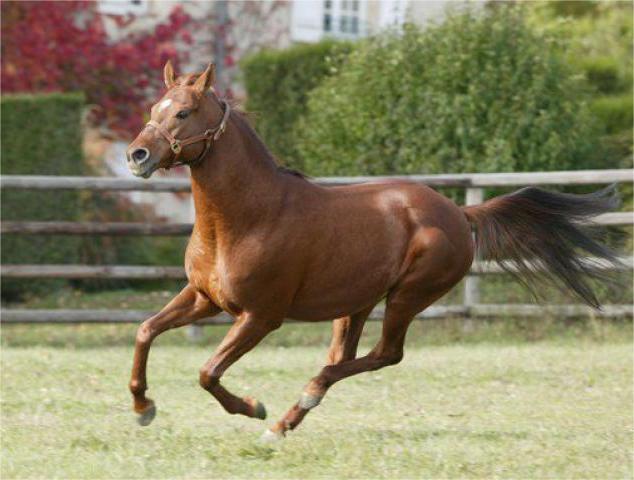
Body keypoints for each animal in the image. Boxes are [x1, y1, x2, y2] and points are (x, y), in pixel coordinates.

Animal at [125, 61, 620, 440]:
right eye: (153, 109)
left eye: (184, 112)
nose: (137, 155)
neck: (248, 216)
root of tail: (460, 213)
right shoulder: (205, 299)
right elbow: (146, 331)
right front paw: (143, 409)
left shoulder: (261, 316)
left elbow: (208, 372)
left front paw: (252, 407)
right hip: (356, 304)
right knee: (344, 357)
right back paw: (286, 423)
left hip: (406, 297)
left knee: (385, 355)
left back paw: (297, 402)